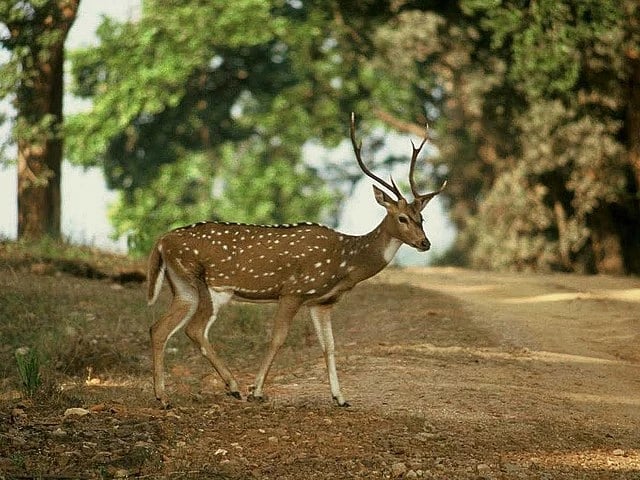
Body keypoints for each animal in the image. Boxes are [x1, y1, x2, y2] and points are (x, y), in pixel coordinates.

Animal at [146, 113, 447, 407]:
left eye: (422, 218)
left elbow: (329, 345)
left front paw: (340, 397)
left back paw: (164, 396)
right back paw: (232, 388)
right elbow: (277, 339)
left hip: (183, 287)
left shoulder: (321, 302)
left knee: (158, 328)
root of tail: (161, 241)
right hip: (211, 285)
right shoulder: (293, 290)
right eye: (402, 218)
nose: (425, 243)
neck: (345, 262)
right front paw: (257, 391)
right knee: (194, 329)